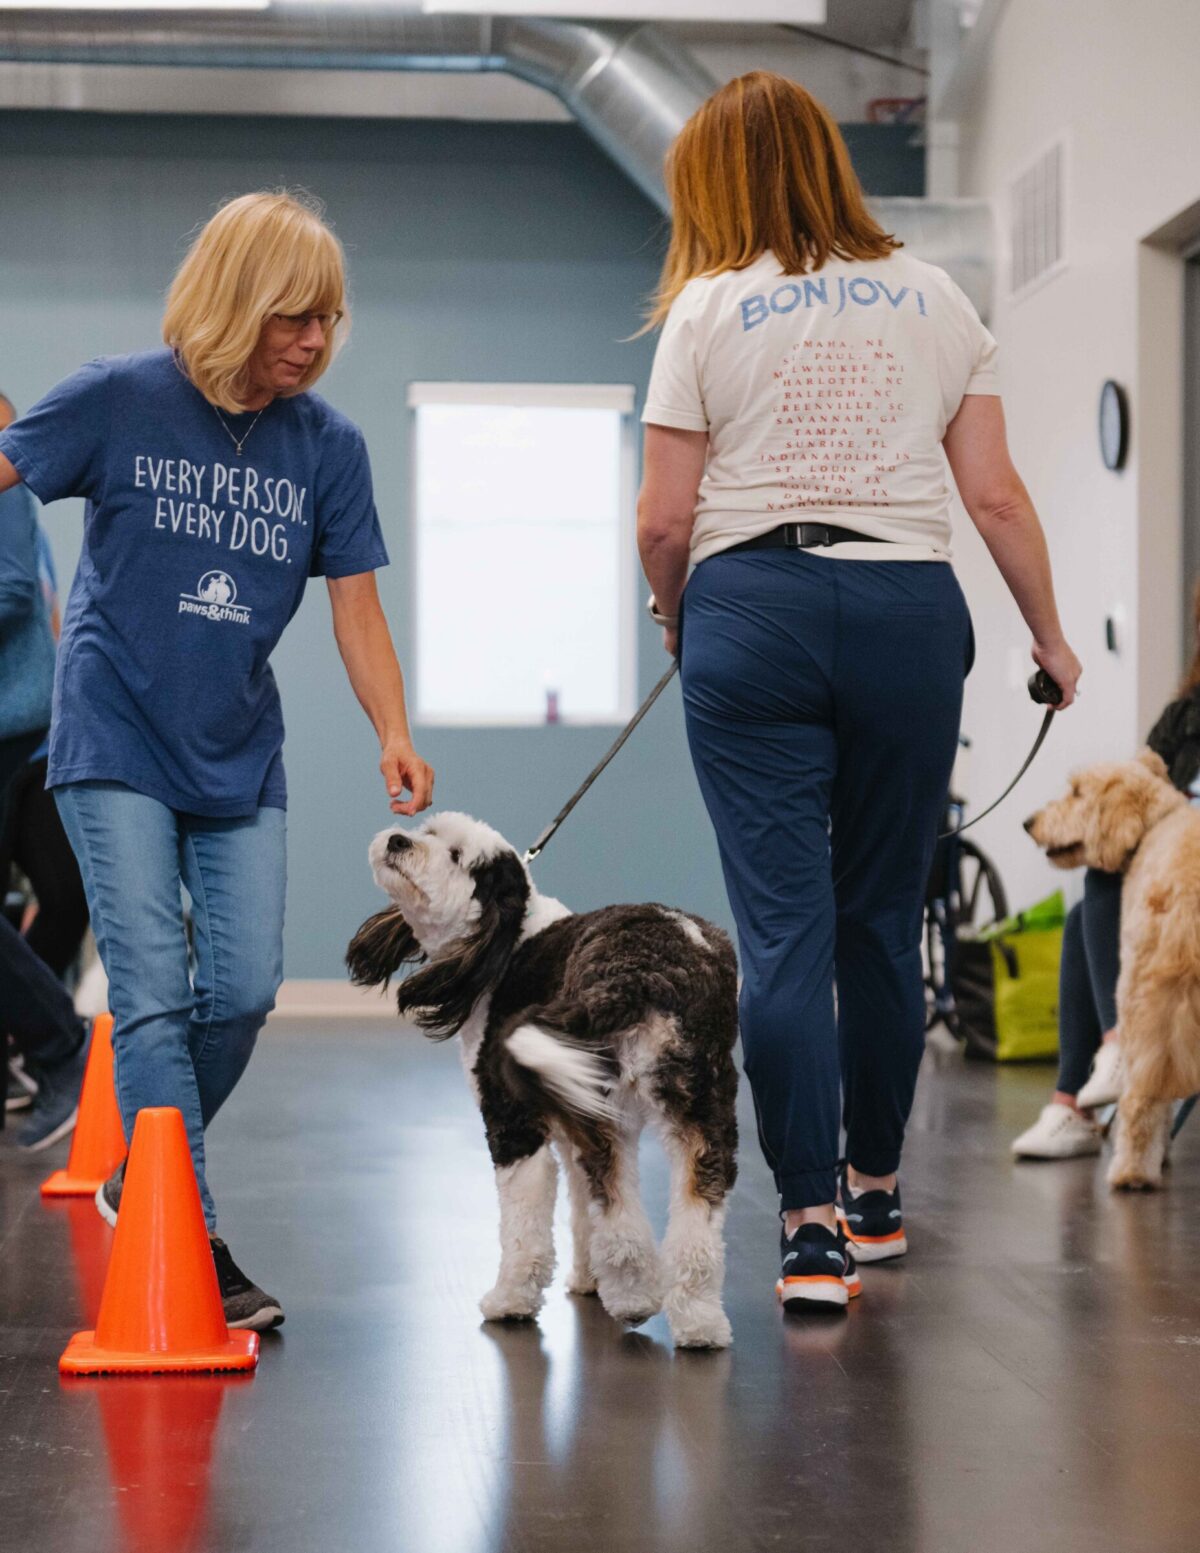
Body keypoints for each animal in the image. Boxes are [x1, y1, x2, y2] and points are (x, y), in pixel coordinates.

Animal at [346, 813, 738, 1348]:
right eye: (428, 829)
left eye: (457, 857)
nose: (398, 839)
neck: (508, 940)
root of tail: (643, 971)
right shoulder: (567, 1113)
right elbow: (581, 1210)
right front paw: (589, 1280)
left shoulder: (514, 1123)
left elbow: (524, 1227)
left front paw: (511, 1300)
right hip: (702, 1106)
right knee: (696, 1210)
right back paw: (700, 1321)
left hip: (605, 1109)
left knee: (619, 1213)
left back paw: (634, 1298)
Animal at [1024, 751, 1198, 1186]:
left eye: (1076, 792)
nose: (1029, 822)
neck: (1157, 823)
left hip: (1143, 994)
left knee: (1140, 1097)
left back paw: (1132, 1172)